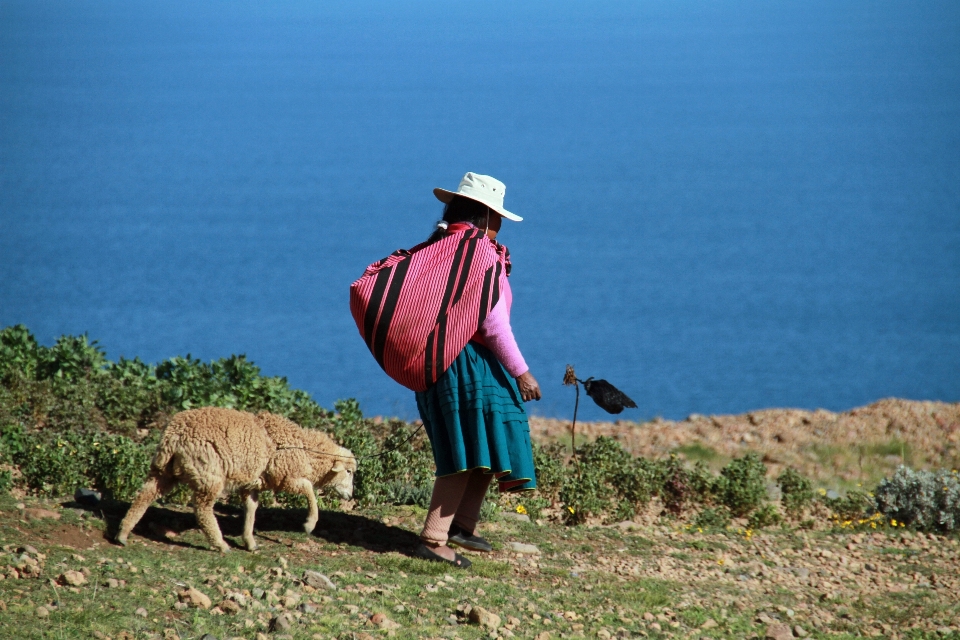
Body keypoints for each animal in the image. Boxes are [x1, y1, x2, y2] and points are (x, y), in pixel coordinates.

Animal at [116, 408, 356, 552]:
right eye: (349, 472)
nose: (350, 495)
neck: (305, 449)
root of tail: (173, 436)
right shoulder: (286, 476)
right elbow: (309, 490)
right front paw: (310, 523)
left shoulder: (252, 484)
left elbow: (251, 510)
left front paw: (249, 541)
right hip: (209, 474)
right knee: (202, 509)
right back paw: (220, 543)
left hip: (163, 471)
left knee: (145, 494)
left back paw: (122, 533)